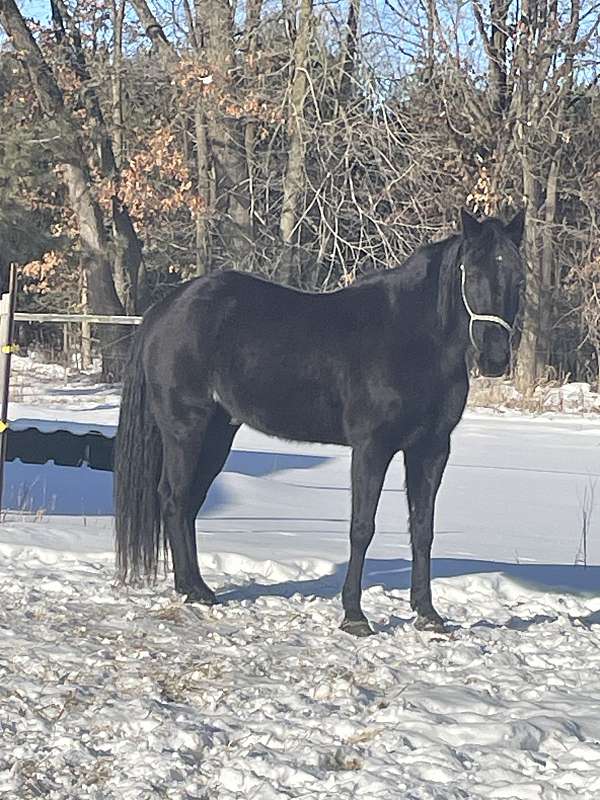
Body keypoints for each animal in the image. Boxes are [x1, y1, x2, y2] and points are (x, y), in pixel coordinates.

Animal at [113, 209, 524, 636]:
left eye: (518, 278)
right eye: (471, 273)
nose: (495, 359)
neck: (412, 338)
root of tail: (165, 309)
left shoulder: (430, 449)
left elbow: (422, 529)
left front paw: (427, 613)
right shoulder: (372, 448)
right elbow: (362, 527)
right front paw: (354, 616)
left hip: (217, 434)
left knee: (189, 503)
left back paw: (195, 586)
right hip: (185, 429)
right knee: (173, 499)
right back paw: (191, 590)